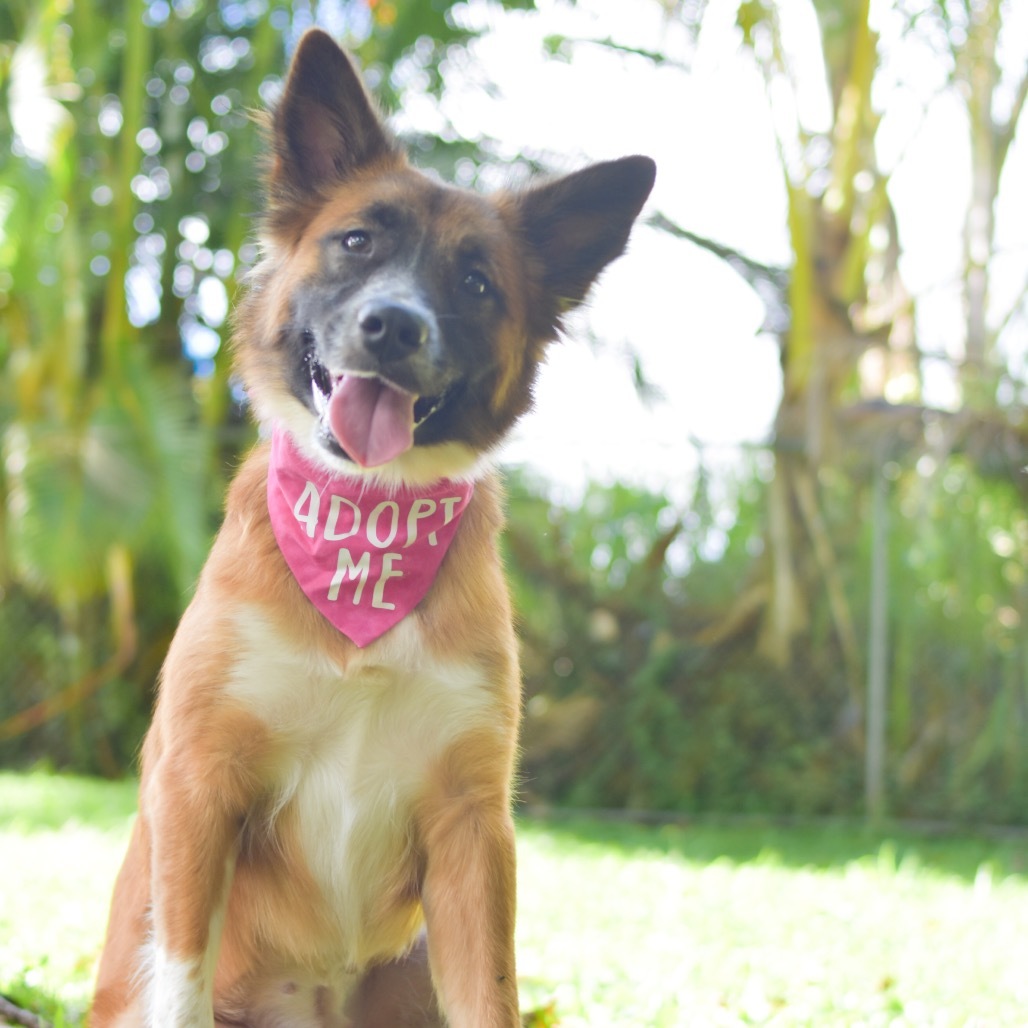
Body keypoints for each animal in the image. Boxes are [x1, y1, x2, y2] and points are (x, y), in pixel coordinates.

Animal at [88, 28, 649, 1023]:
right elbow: (180, 979)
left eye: (475, 282)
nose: (393, 326)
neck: (366, 527)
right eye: (355, 242)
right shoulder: (199, 788)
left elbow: (490, 996)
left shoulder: (472, 827)